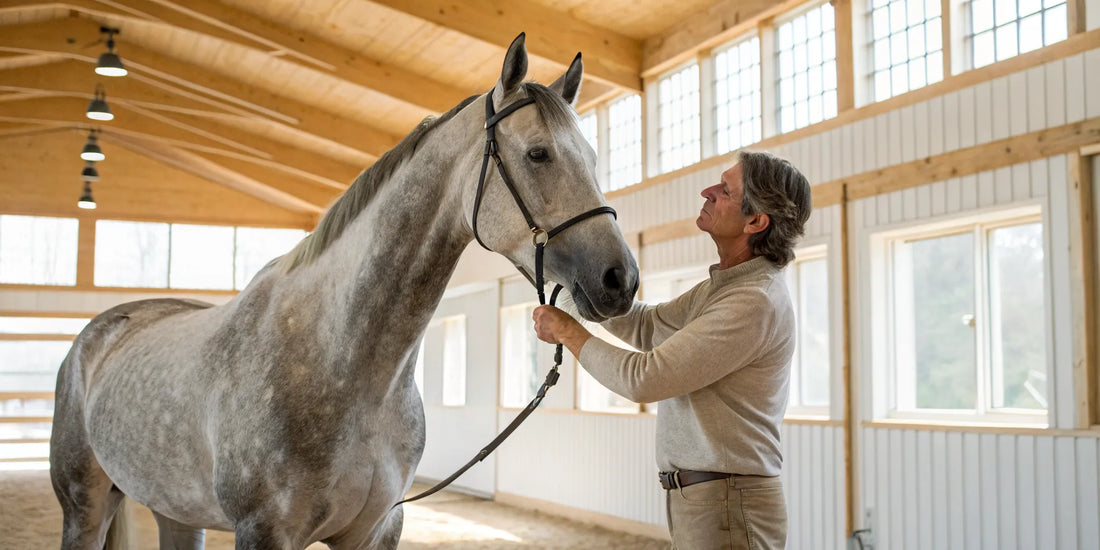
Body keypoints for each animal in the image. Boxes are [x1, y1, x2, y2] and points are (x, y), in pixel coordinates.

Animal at [49, 33, 639, 550]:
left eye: (592, 157)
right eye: (539, 154)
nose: (621, 280)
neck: (342, 361)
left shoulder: (376, 529)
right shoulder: (264, 531)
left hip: (175, 510)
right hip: (85, 505)